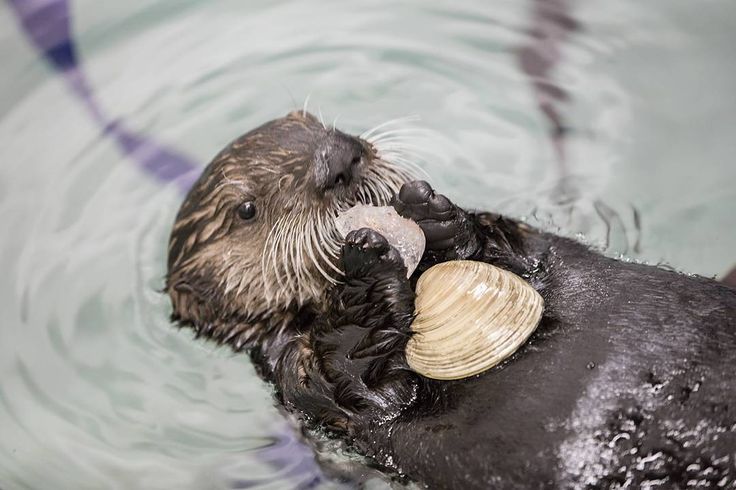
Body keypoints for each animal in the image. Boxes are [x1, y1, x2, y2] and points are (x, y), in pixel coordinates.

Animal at [165, 111, 736, 488]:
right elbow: (372, 396)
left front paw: (433, 214)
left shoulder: (527, 251)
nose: (339, 159)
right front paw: (365, 296)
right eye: (246, 209)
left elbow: (518, 249)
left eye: (320, 124)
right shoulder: (300, 376)